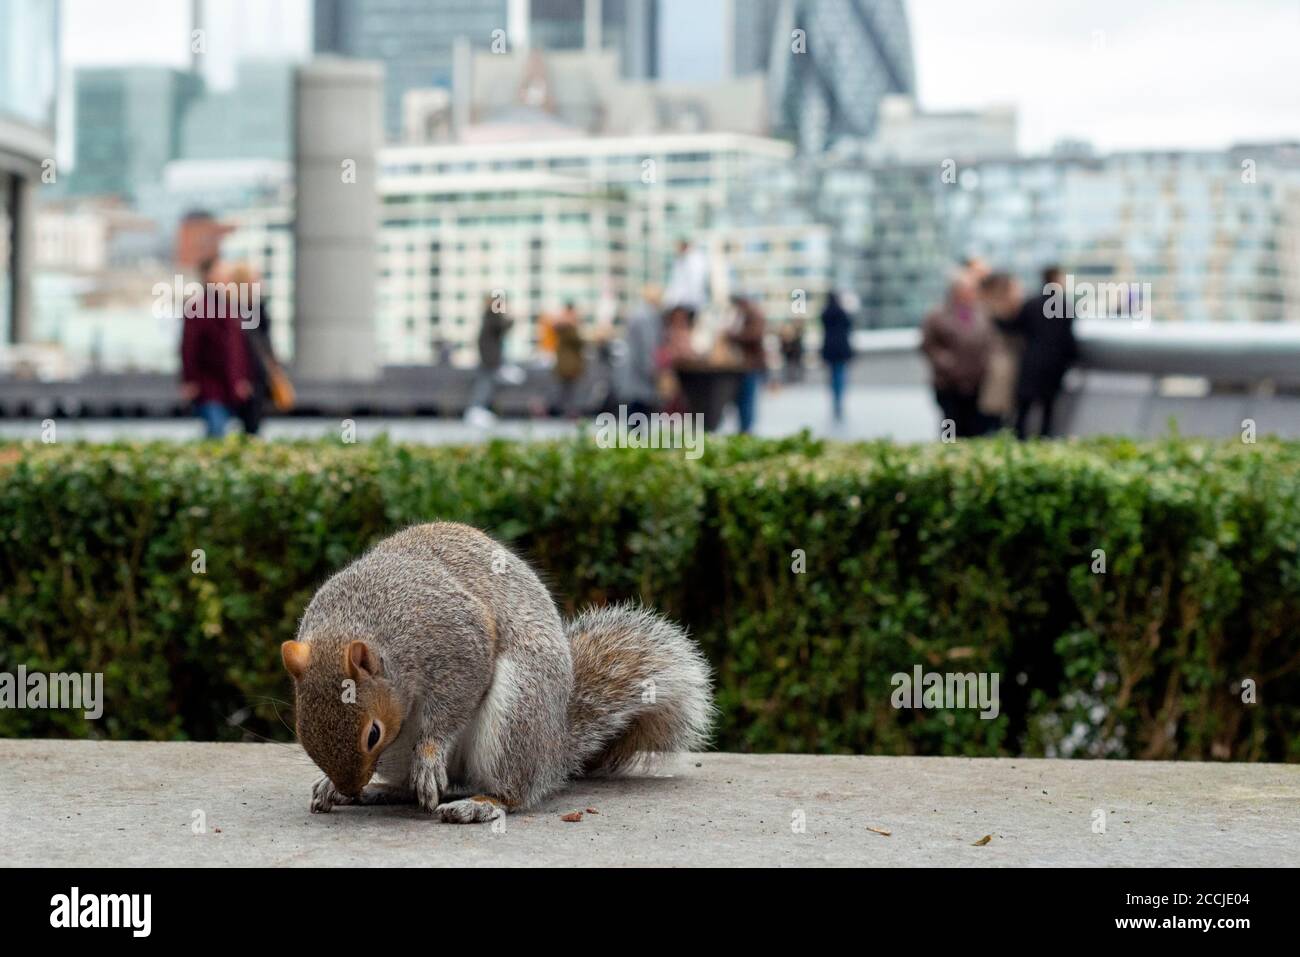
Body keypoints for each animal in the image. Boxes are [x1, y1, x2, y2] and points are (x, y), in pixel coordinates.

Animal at [279, 522, 717, 821]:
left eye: (373, 734)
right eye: (300, 727)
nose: (350, 787)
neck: (355, 620)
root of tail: (555, 749)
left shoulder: (456, 639)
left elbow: (458, 695)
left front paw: (431, 752)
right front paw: (333, 787)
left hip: (516, 713)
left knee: (514, 792)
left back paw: (478, 803)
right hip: (402, 752)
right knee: (410, 787)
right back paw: (382, 791)